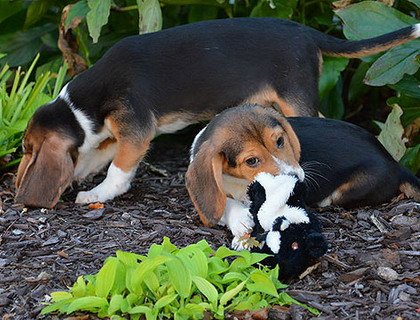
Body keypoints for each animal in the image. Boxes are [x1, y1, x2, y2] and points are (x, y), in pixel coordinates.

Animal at [14, 18, 420, 208]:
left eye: (26, 149)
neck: (83, 106)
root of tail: (307, 32)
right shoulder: (119, 133)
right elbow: (96, 154)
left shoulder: (136, 131)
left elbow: (118, 168)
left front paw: (100, 192)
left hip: (295, 97)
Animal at [188, 104, 420, 240]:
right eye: (252, 161)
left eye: (279, 141)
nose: (295, 180)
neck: (238, 182)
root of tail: (395, 163)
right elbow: (223, 203)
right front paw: (239, 218)